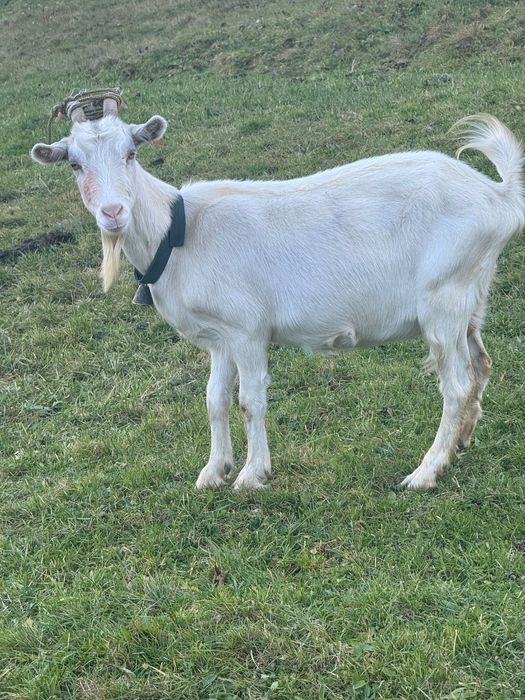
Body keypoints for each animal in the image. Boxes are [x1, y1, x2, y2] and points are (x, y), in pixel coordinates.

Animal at [31, 108, 524, 490]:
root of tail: (497, 197)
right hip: (470, 299)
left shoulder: (247, 330)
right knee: (481, 365)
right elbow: (214, 399)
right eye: (74, 164)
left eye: (130, 153)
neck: (179, 232)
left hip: (444, 298)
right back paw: (461, 443)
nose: (113, 213)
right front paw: (214, 471)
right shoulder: (218, 339)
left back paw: (425, 472)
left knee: (455, 385)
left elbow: (250, 400)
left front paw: (252, 475)